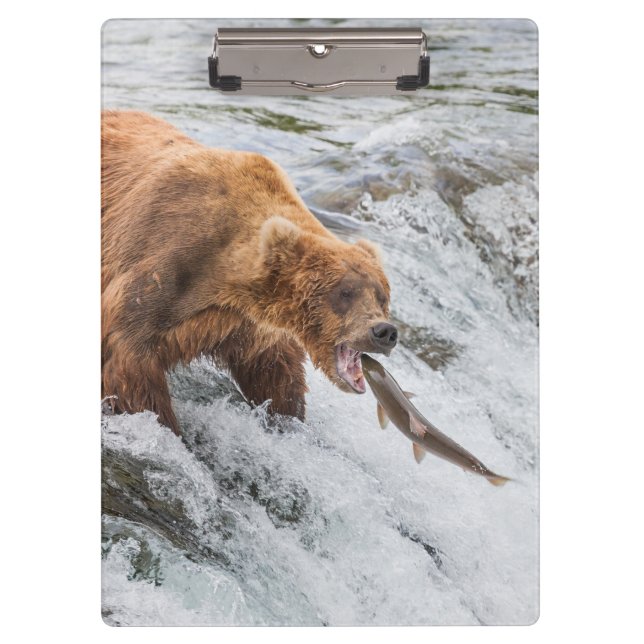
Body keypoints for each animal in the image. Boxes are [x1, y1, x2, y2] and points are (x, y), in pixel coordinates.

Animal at [102, 110, 398, 435]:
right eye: (345, 293)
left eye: (382, 296)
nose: (384, 331)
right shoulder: (165, 265)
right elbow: (132, 364)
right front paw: (168, 427)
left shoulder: (247, 325)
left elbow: (276, 373)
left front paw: (287, 418)